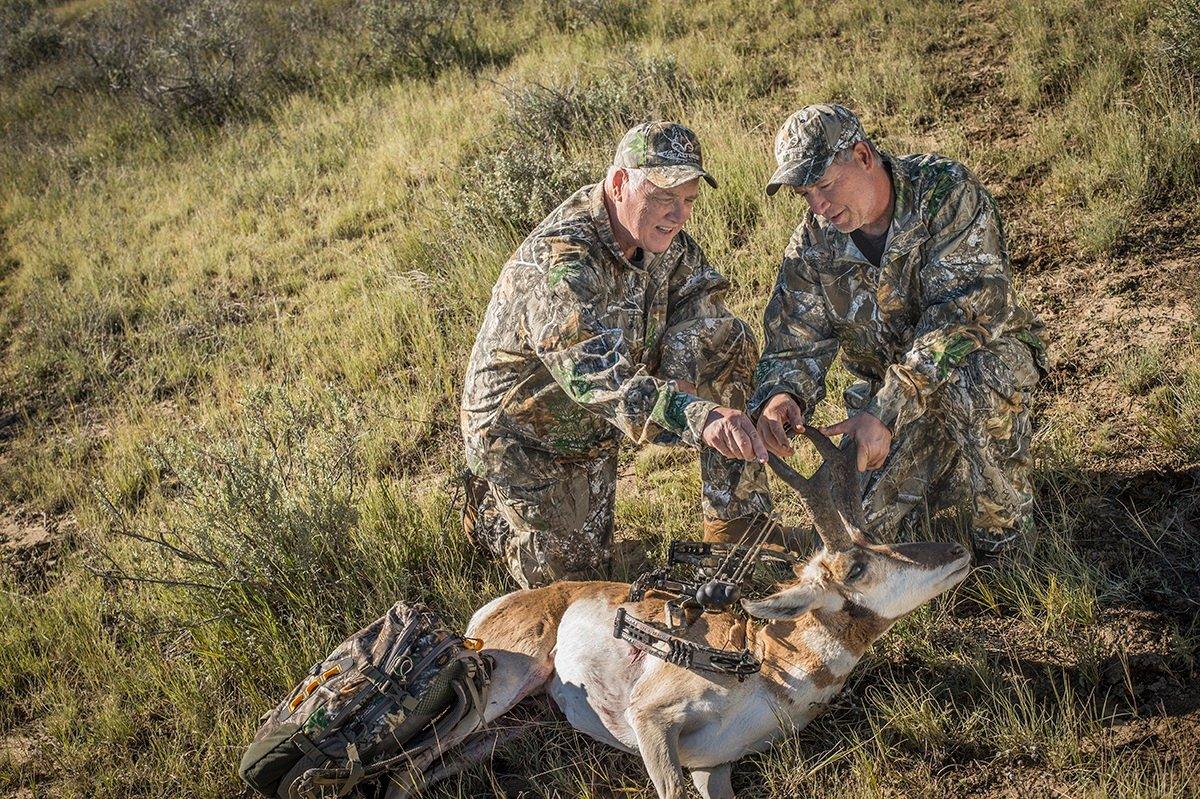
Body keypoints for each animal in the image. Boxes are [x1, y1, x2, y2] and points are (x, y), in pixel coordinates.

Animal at [453, 429, 969, 796]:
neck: (766, 666)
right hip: (506, 681)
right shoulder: (652, 718)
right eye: (857, 567)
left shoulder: (713, 766)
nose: (958, 550)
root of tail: (495, 610)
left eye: (878, 538)